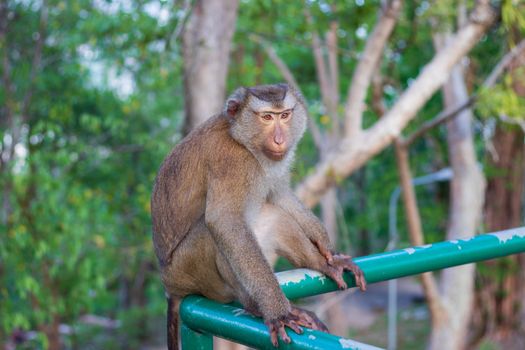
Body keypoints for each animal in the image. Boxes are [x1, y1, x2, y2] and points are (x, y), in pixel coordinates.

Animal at [150, 82, 364, 348]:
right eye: (267, 117)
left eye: (285, 115)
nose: (280, 139)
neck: (243, 141)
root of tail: (169, 286)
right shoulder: (231, 161)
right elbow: (224, 222)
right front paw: (278, 313)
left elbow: (279, 195)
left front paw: (327, 251)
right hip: (188, 271)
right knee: (214, 233)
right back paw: (254, 305)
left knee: (273, 216)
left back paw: (319, 264)